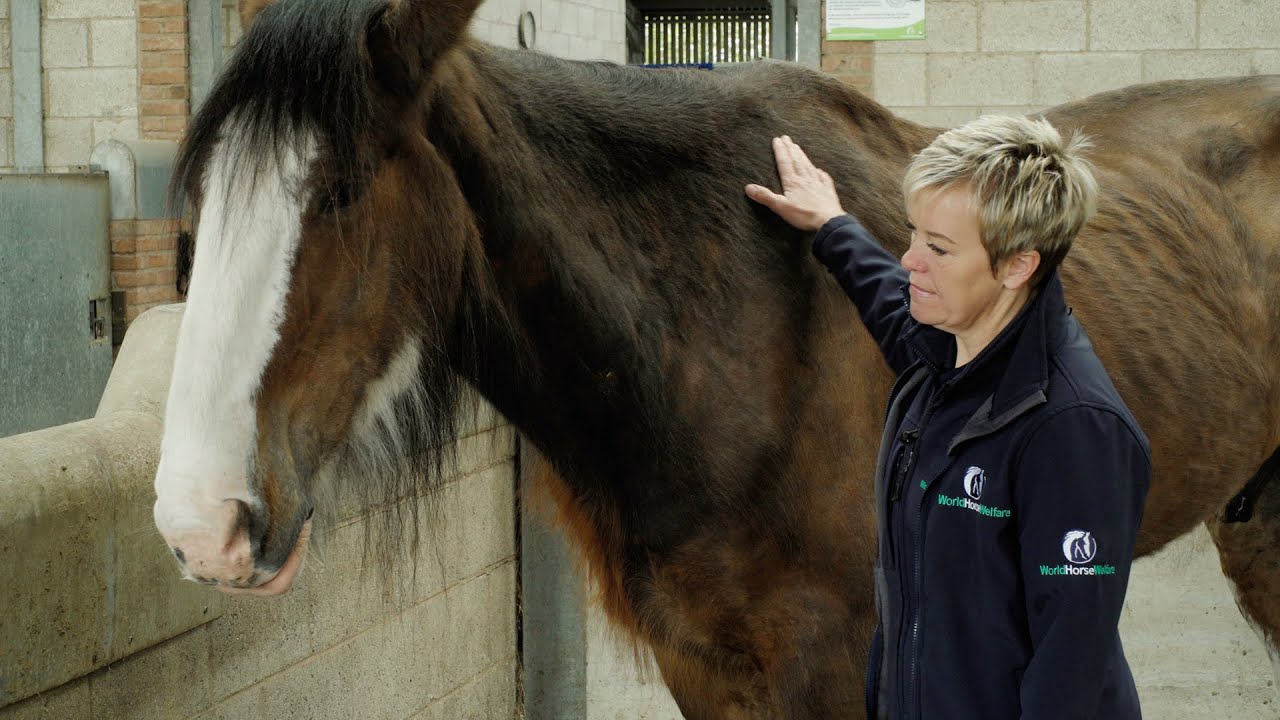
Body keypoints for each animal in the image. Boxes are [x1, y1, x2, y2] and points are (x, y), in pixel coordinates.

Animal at [150, 0, 1280, 716]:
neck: (725, 346)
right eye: (199, 199)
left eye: (339, 189)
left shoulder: (835, 670)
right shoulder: (704, 667)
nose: (201, 527)